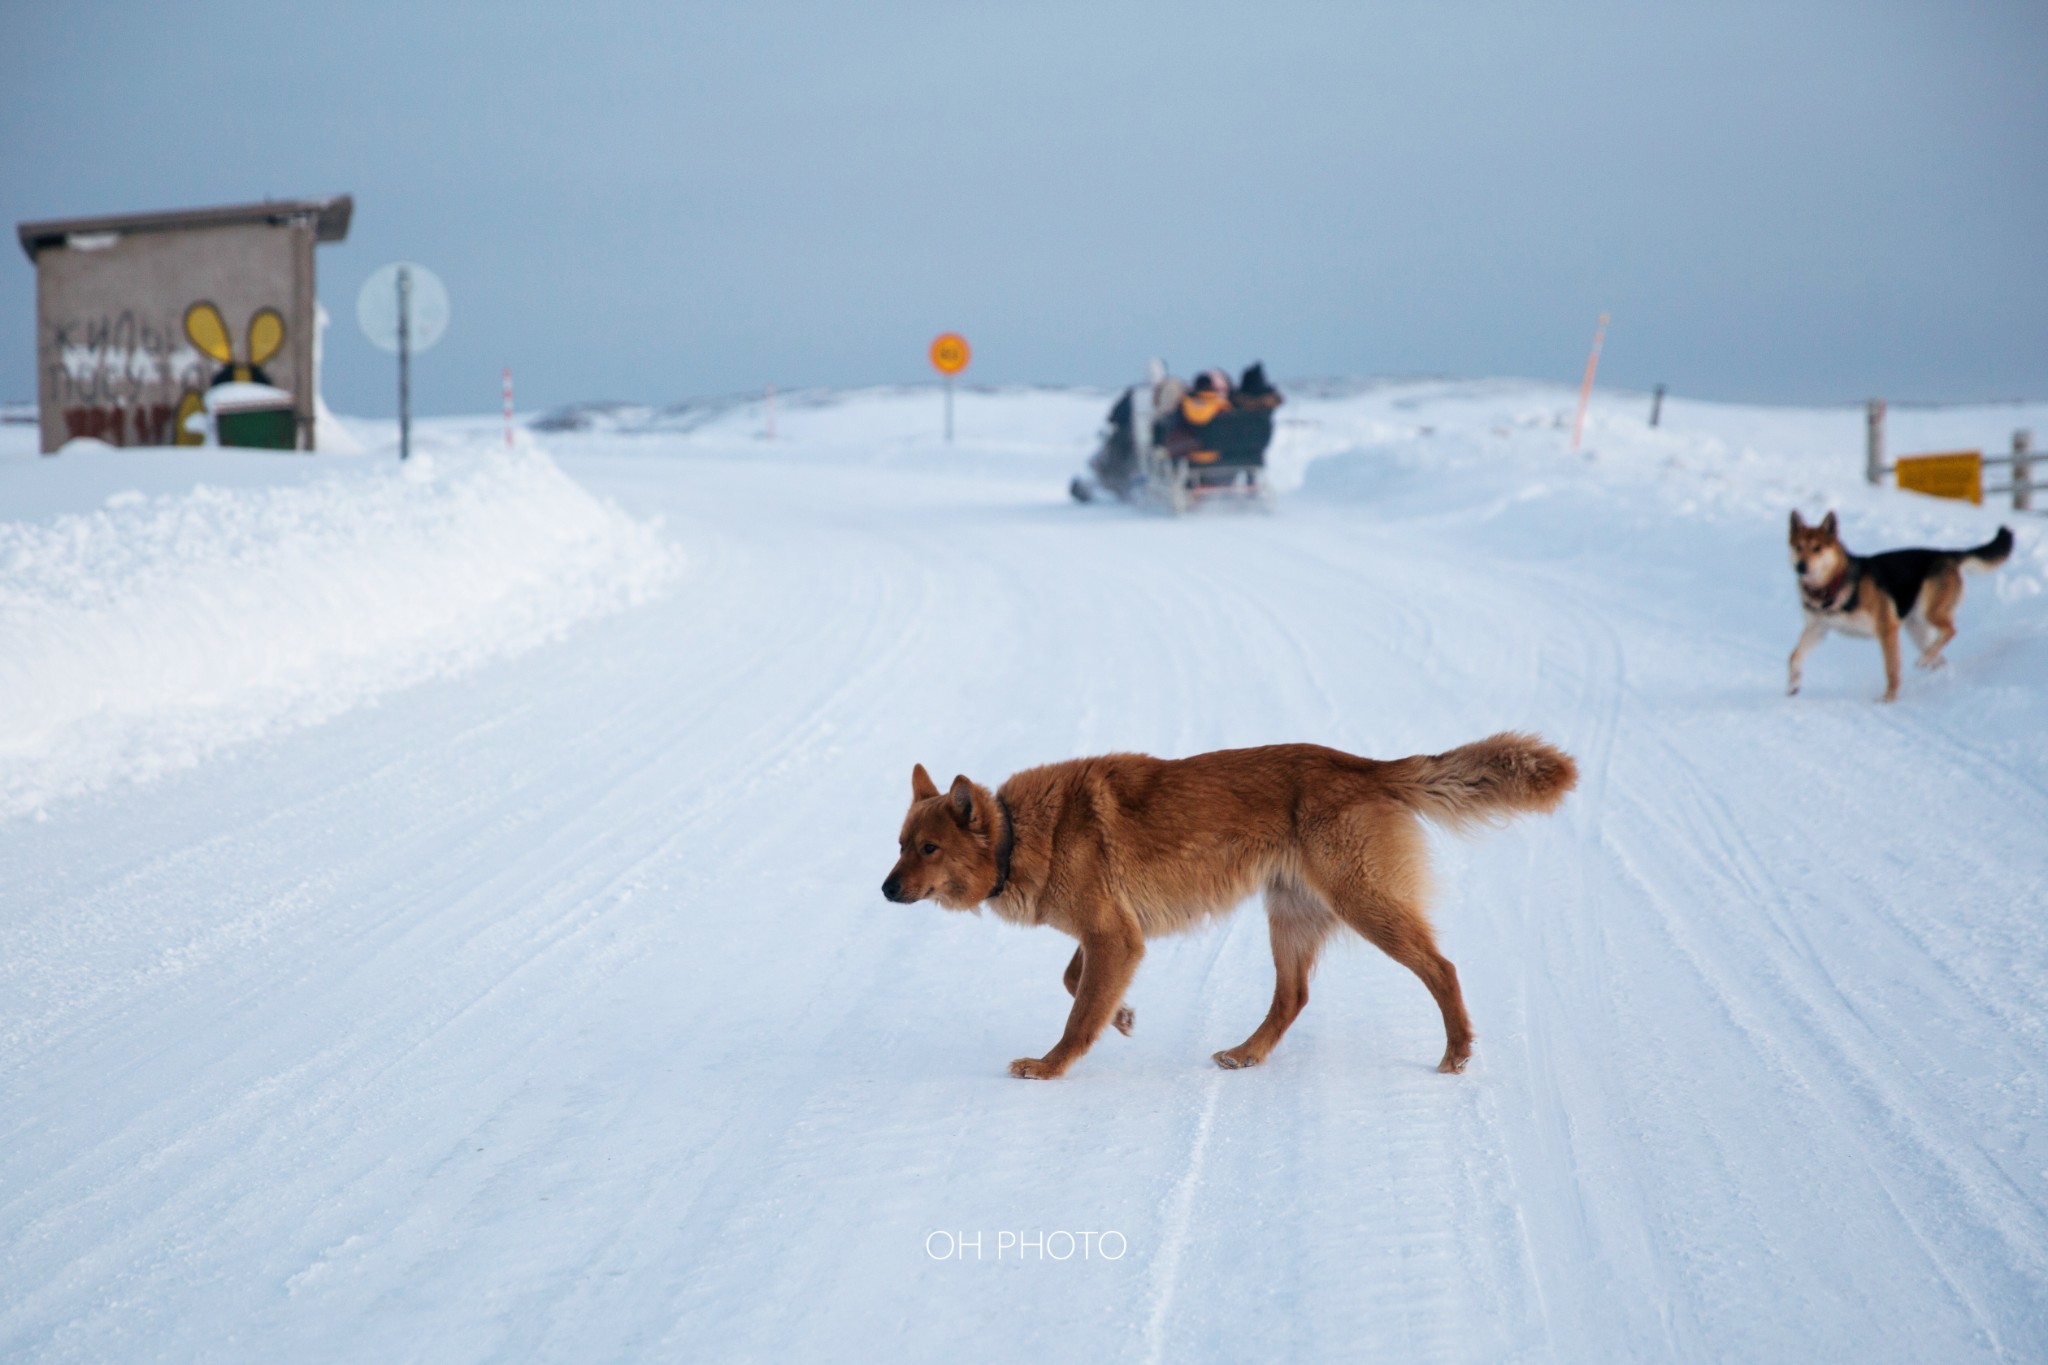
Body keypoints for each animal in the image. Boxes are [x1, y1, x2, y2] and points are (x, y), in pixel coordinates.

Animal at [884, 736, 1581, 1080]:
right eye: (899, 845)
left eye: (928, 848)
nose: (886, 891)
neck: (1020, 834)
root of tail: (1365, 766)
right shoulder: (1113, 934)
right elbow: (1075, 981)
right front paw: (1123, 1015)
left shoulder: (1115, 935)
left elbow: (1077, 1015)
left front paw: (1049, 1067)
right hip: (1289, 916)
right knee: (1292, 997)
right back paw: (1247, 1054)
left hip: (1363, 903)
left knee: (1443, 969)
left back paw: (1458, 1053)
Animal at [1785, 509, 2007, 703]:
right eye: (1798, 547)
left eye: (1817, 548)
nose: (1800, 566)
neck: (1832, 584)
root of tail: (1947, 554)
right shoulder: (1818, 628)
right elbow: (1794, 656)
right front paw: (1793, 685)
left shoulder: (1887, 629)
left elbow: (1891, 669)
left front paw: (1888, 698)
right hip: (1916, 628)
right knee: (1940, 654)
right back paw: (1933, 666)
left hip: (1930, 612)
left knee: (1950, 630)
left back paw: (1924, 659)